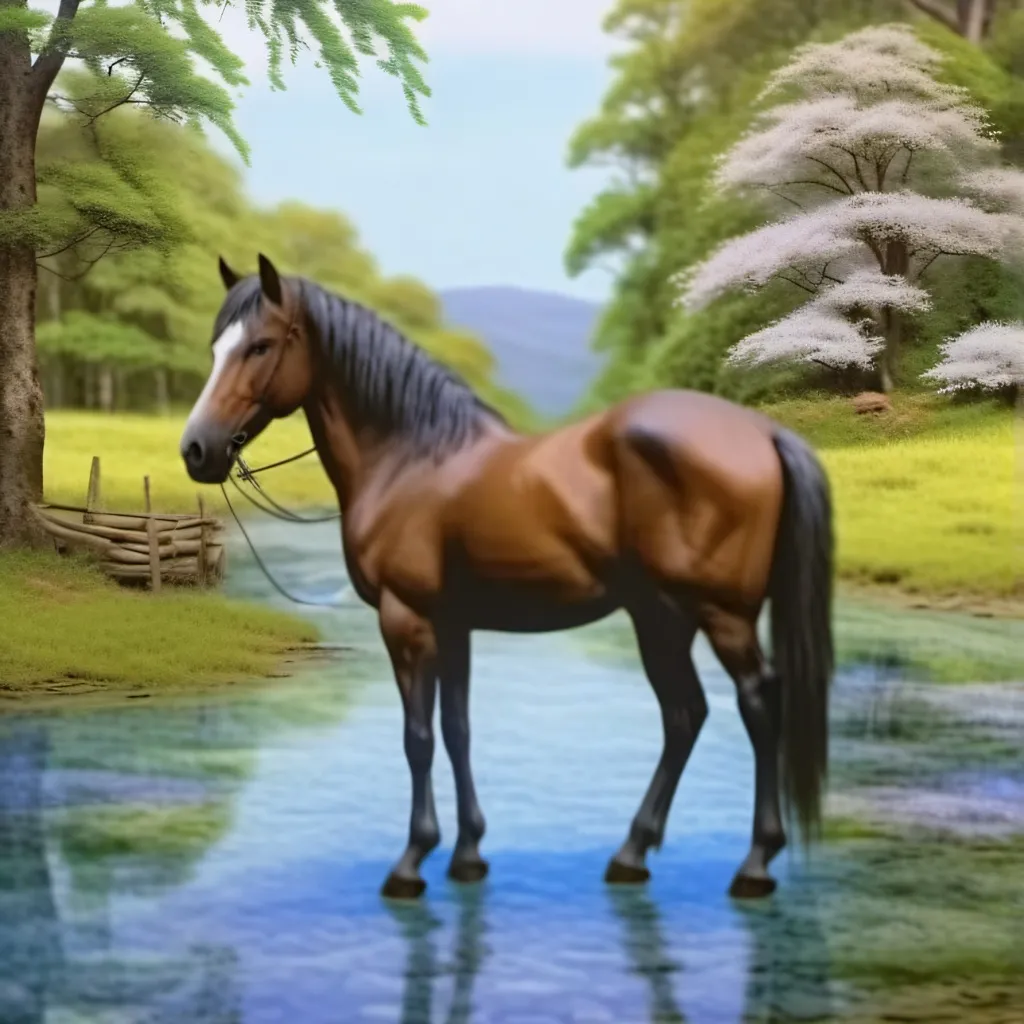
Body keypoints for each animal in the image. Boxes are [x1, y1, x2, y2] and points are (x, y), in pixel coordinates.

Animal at [180, 253, 834, 902]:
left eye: (260, 346)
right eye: (216, 346)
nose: (196, 449)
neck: (412, 457)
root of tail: (761, 432)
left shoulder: (406, 620)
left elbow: (418, 738)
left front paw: (411, 861)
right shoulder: (453, 627)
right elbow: (457, 729)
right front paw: (468, 855)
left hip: (723, 615)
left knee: (756, 705)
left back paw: (754, 863)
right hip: (662, 616)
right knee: (684, 715)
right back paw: (631, 854)